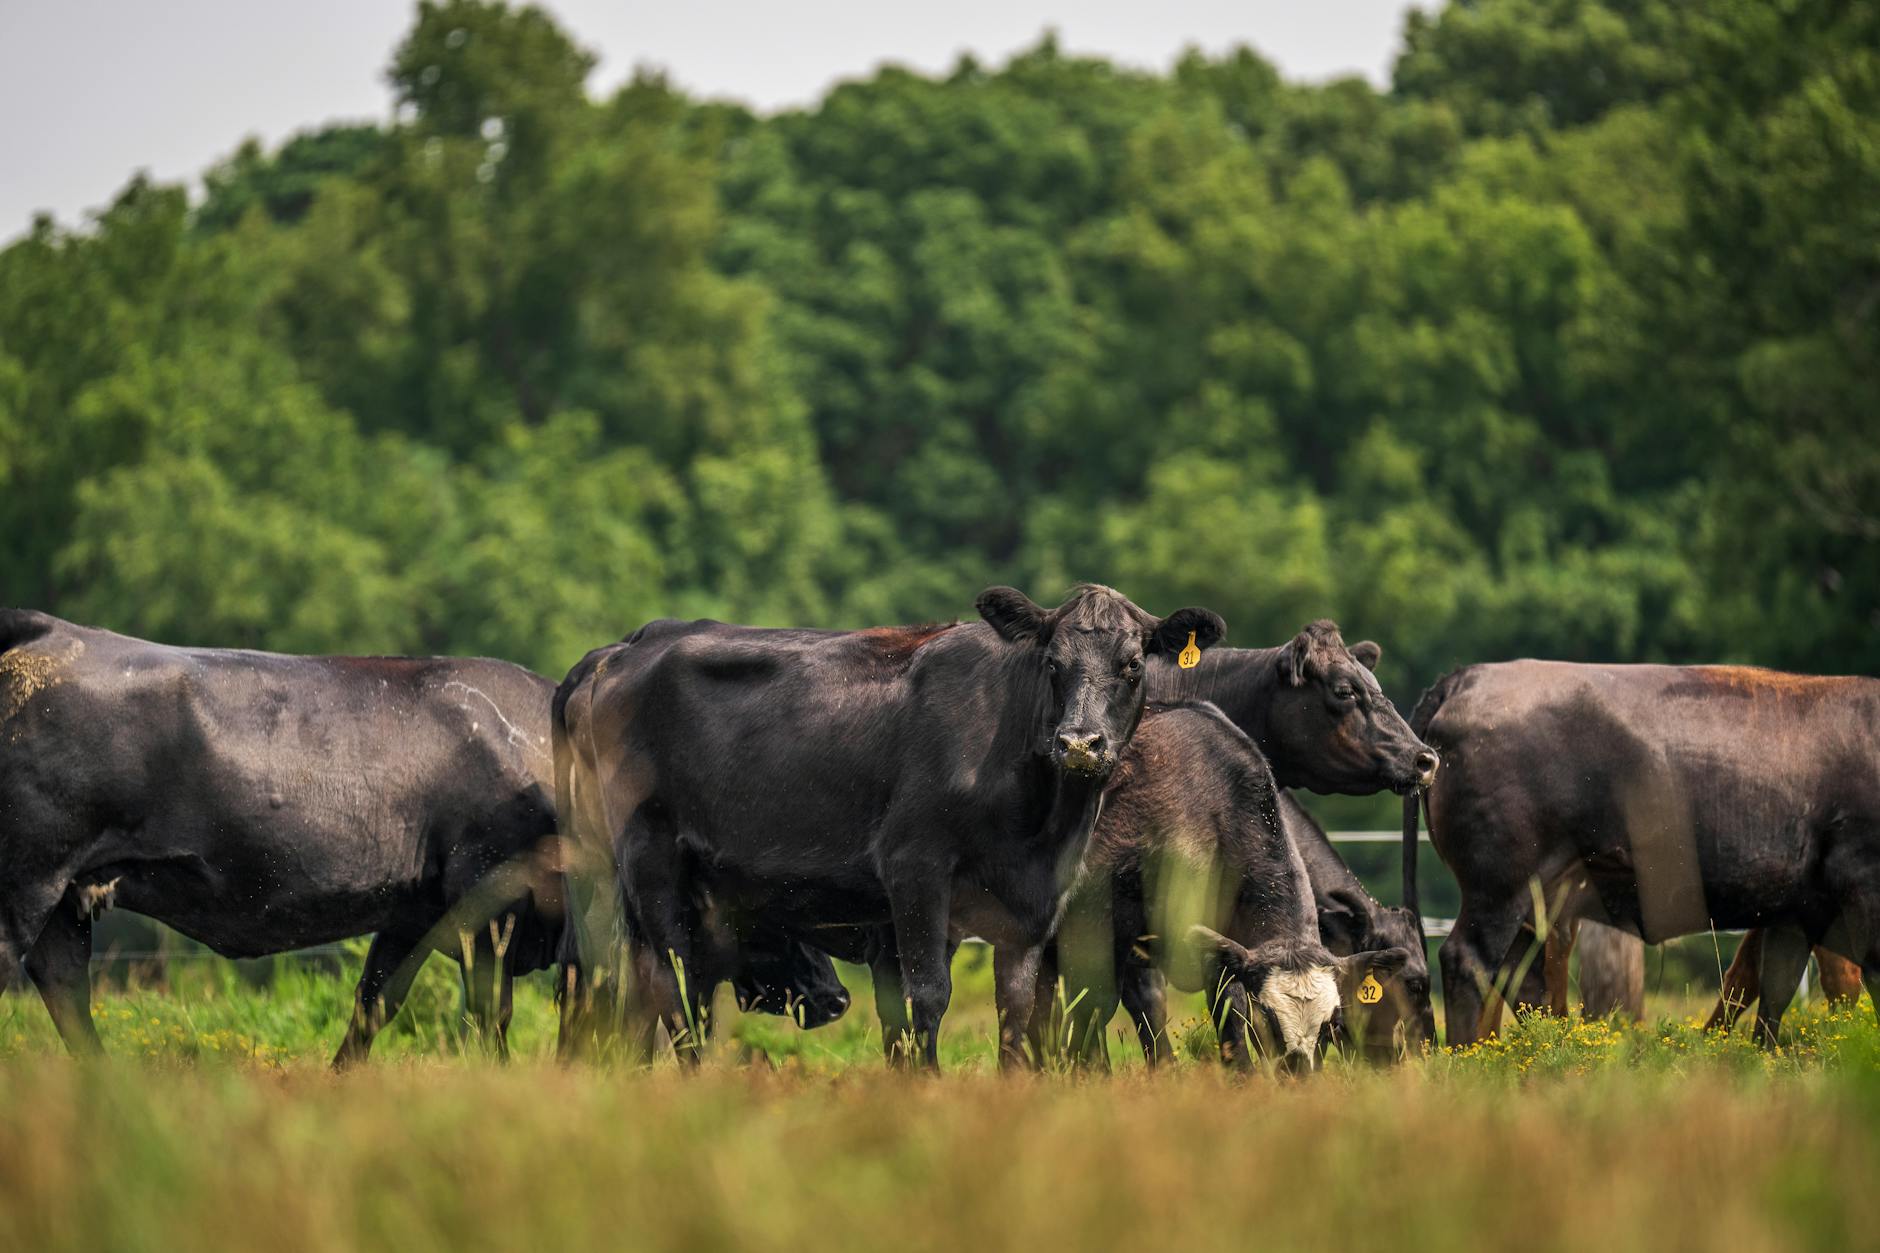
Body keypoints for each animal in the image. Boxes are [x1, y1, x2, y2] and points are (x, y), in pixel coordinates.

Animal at [0, 609, 847, 1065]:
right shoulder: (488, 906)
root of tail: (50, 630)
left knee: (65, 990)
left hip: (64, 901)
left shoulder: (412, 911)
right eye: (773, 907)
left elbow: (373, 1005)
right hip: (27, 880)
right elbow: (489, 1014)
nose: (837, 995)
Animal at [552, 585, 1224, 1070]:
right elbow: (924, 996)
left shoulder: (1035, 898)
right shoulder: (915, 869)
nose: (1080, 743)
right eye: (1053, 664)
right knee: (671, 985)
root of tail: (621, 649)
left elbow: (1017, 1005)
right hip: (648, 860)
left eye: (1132, 665)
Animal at [1039, 703, 1411, 1072]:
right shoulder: (1098, 924)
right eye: (1269, 1019)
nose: (1299, 1074)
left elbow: (1226, 1011)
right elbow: (1094, 1006)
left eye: (1330, 1024)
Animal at [1406, 661, 1880, 1047]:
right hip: (1502, 887)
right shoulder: (1858, 886)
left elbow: (1771, 988)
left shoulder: (1793, 912)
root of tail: (1467, 677)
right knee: (1469, 961)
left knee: (1520, 975)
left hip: (1538, 900)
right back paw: (1472, 1058)